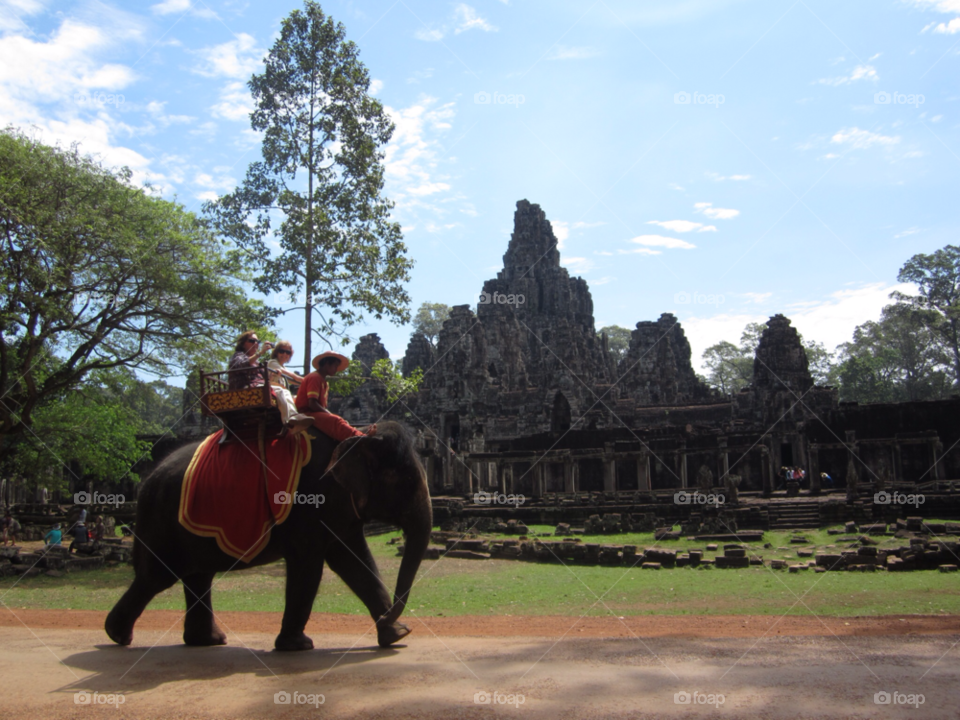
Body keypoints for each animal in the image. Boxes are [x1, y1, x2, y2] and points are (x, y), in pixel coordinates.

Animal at [105, 422, 432, 652]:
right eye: (403, 479)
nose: (392, 615)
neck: (359, 435)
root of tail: (148, 479)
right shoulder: (311, 503)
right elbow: (308, 567)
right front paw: (297, 645)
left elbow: (355, 563)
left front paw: (396, 634)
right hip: (161, 522)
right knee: (156, 577)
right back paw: (117, 635)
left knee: (197, 577)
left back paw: (206, 641)